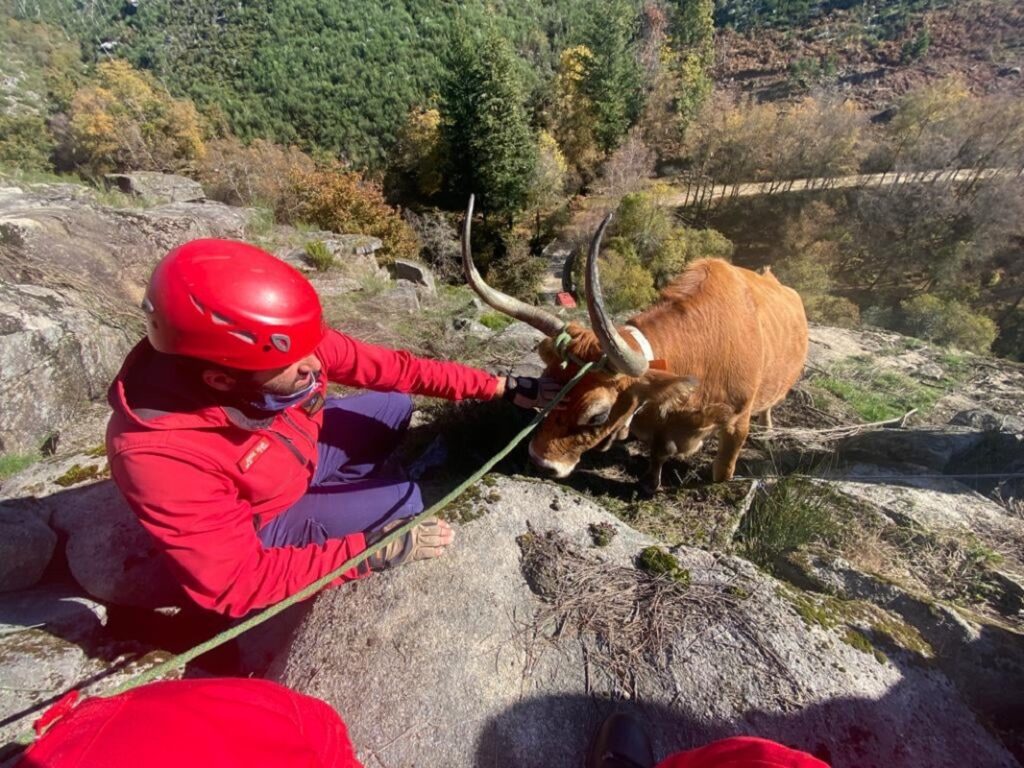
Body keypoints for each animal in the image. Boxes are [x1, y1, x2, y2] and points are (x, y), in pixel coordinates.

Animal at [462, 196, 809, 493]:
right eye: (548, 391)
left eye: (597, 415)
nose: (539, 460)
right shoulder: (660, 421)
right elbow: (659, 451)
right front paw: (649, 483)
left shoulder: (736, 424)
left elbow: (722, 471)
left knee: (769, 406)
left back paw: (769, 427)